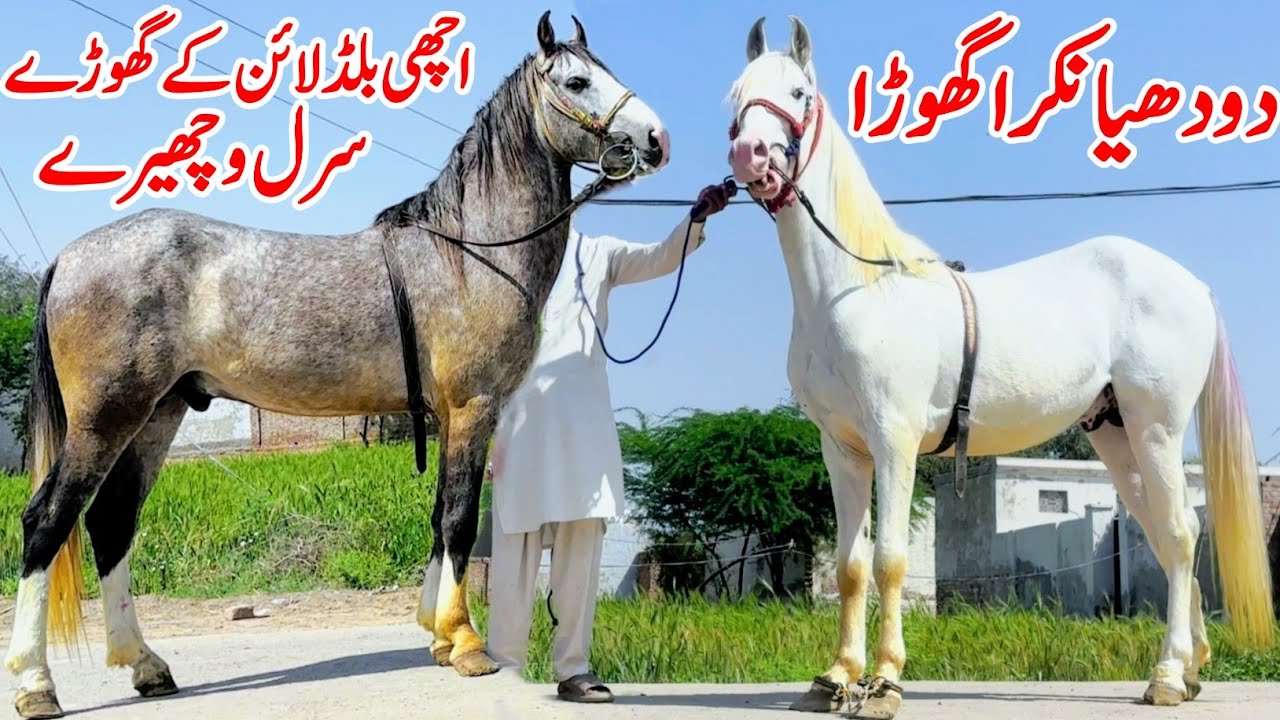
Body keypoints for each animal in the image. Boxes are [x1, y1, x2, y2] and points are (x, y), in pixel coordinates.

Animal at [4, 12, 669, 718]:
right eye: (577, 81)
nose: (655, 140)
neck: (468, 252)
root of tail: (70, 258)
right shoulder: (473, 409)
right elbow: (460, 520)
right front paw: (465, 643)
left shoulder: (445, 417)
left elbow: (438, 518)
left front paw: (436, 635)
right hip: (107, 418)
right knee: (47, 521)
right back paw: (36, 683)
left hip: (159, 414)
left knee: (111, 522)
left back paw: (146, 665)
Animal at [726, 16, 1273, 717]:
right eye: (737, 92)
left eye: (798, 93)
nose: (751, 156)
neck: (858, 288)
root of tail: (1191, 283)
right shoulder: (842, 450)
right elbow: (850, 566)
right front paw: (836, 678)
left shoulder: (894, 440)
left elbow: (890, 560)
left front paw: (884, 683)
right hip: (1116, 434)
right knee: (1162, 533)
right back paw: (1191, 665)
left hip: (1157, 429)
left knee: (1179, 533)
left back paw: (1168, 677)